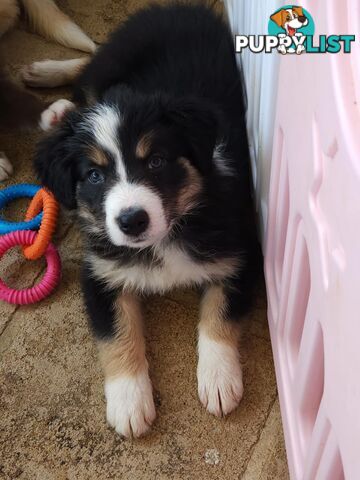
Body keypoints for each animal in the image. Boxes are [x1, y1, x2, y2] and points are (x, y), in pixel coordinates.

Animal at [34, 2, 262, 438]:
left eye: (156, 161)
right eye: (94, 175)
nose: (132, 221)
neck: (166, 236)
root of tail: (175, 7)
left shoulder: (241, 253)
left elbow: (220, 314)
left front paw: (219, 379)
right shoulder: (100, 273)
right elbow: (117, 334)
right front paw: (128, 402)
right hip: (114, 59)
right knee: (91, 65)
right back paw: (50, 92)